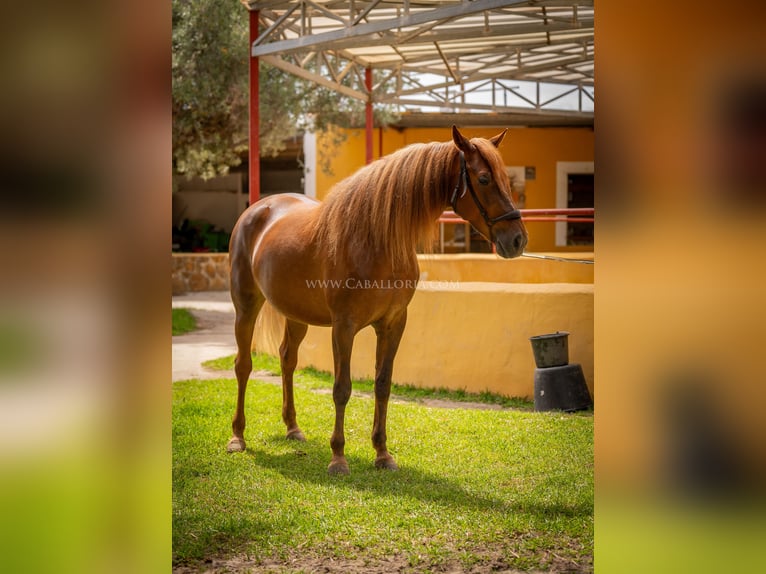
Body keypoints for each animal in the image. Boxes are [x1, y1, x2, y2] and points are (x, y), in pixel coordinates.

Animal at [226, 127, 528, 476]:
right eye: (483, 179)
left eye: (505, 178)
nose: (518, 240)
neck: (376, 240)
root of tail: (258, 209)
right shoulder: (343, 327)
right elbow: (342, 388)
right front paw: (338, 458)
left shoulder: (393, 323)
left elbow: (383, 384)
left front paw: (382, 454)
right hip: (246, 306)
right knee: (243, 365)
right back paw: (237, 437)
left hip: (296, 315)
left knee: (287, 360)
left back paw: (293, 428)